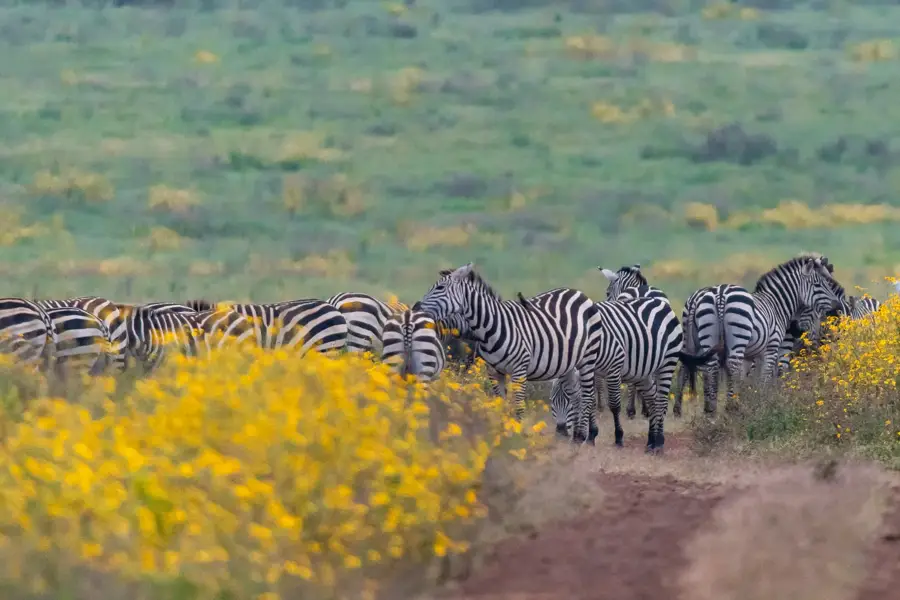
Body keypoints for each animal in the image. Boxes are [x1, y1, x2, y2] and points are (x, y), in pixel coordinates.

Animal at [412, 263, 605, 436]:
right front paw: (502, 431)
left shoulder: (519, 371)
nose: (415, 308)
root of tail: (577, 292)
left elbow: (518, 405)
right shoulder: (494, 372)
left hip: (588, 357)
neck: (490, 327)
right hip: (569, 363)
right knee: (576, 395)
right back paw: (578, 436)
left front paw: (519, 433)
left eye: (440, 288)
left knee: (588, 394)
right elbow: (501, 403)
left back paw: (586, 435)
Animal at [548, 295, 714, 453]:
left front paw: (618, 438)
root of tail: (660, 302)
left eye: (568, 401)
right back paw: (651, 441)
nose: (561, 431)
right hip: (644, 372)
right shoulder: (593, 372)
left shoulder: (613, 366)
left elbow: (614, 405)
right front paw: (592, 435)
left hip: (667, 362)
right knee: (653, 399)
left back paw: (659, 442)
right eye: (552, 401)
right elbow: (591, 401)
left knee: (661, 401)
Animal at [680, 255, 844, 415]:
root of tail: (720, 294)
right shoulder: (771, 348)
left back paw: (711, 411)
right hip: (738, 337)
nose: (837, 309)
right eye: (818, 285)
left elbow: (748, 379)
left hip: (707, 336)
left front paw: (749, 401)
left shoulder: (751, 355)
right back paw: (730, 407)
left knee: (710, 367)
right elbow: (765, 378)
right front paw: (763, 404)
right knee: (732, 366)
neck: (777, 305)